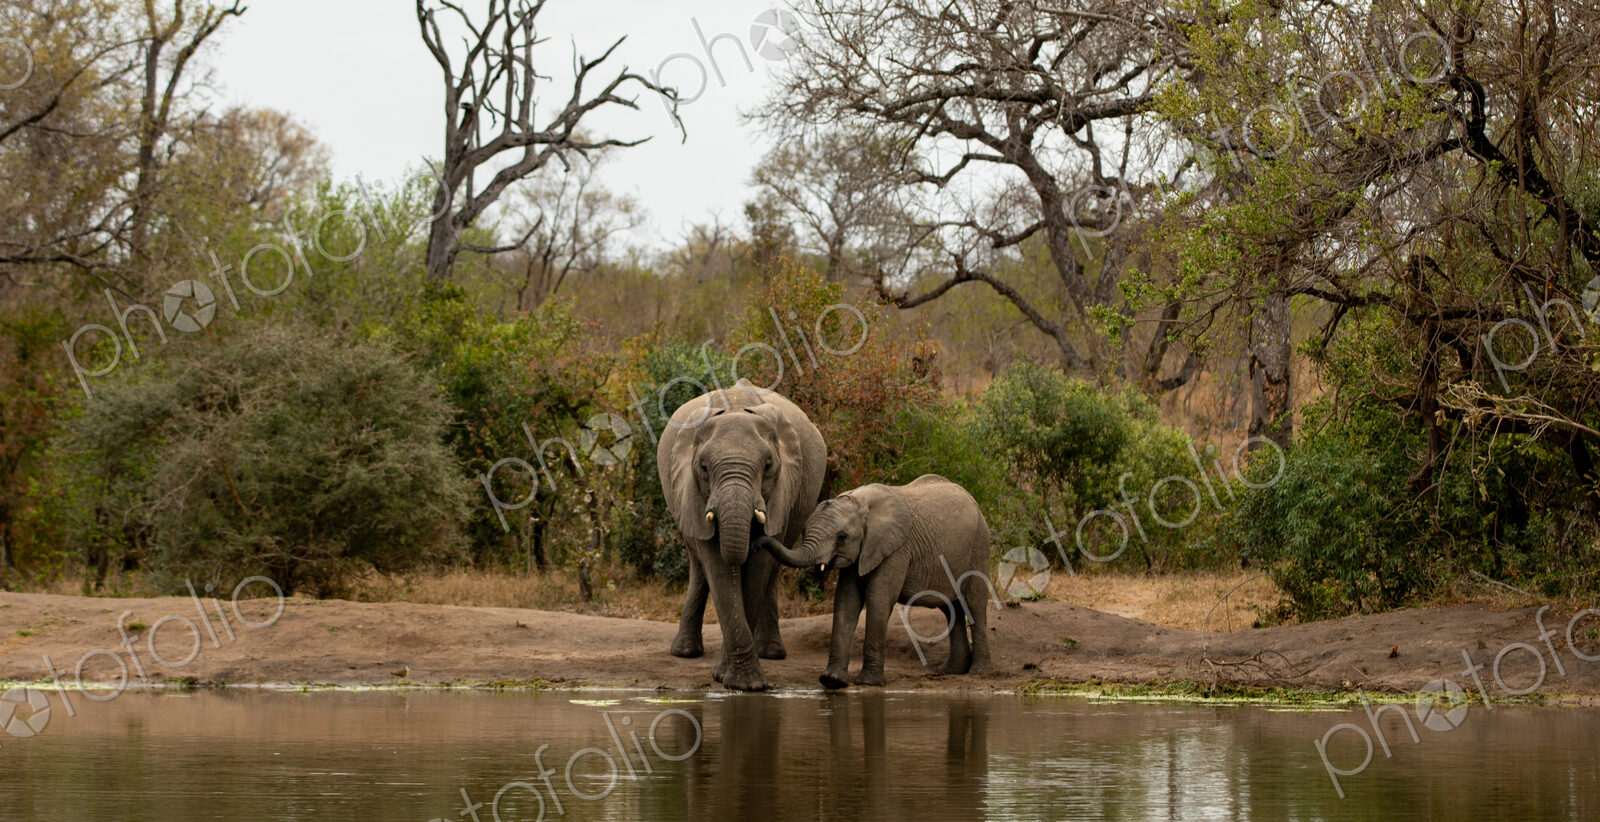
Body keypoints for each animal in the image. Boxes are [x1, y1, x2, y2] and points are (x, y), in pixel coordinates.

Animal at [659, 379, 827, 691]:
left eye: (768, 466)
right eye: (703, 467)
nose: (755, 540)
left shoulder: (783, 490)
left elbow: (757, 571)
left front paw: (736, 681)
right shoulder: (693, 491)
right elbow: (718, 567)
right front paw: (740, 682)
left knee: (772, 570)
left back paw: (771, 653)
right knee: (698, 566)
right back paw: (685, 653)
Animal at [760, 474, 995, 688]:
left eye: (842, 537)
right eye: (804, 531)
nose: (758, 542)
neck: (859, 503)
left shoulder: (896, 550)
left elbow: (878, 598)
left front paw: (868, 682)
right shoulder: (860, 552)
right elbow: (846, 601)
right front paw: (832, 681)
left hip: (979, 546)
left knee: (974, 604)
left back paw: (979, 672)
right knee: (950, 608)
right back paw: (950, 671)